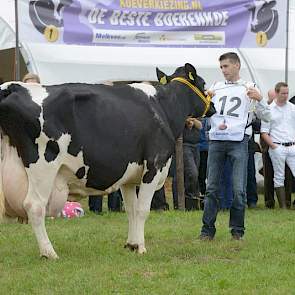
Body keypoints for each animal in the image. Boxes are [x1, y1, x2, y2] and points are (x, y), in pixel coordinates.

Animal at [0, 64, 217, 260]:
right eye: (203, 83)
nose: (213, 107)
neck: (164, 108)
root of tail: (14, 86)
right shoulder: (155, 165)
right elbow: (142, 210)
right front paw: (141, 248)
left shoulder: (129, 176)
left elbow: (131, 209)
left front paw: (131, 244)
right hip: (43, 166)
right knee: (35, 206)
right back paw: (49, 252)